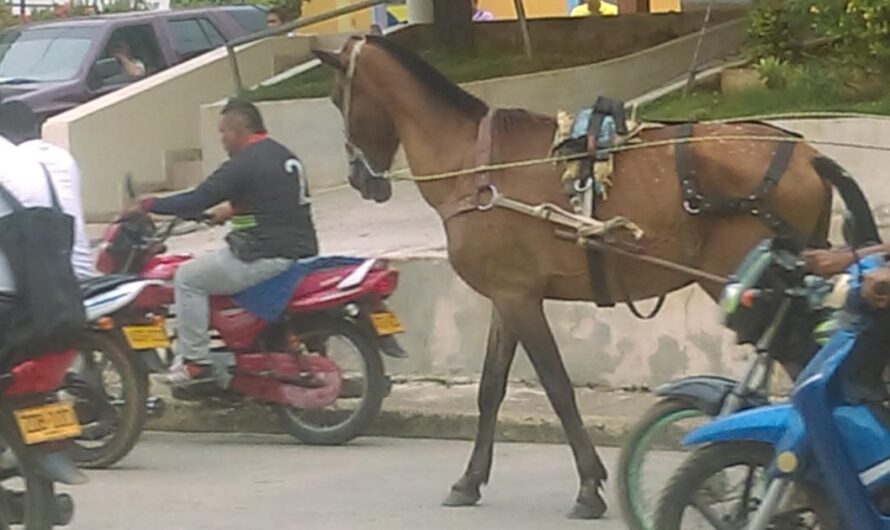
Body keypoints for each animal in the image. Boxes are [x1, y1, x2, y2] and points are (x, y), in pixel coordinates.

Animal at [312, 35, 876, 516]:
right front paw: (470, 480)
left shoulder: (519, 299)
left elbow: (558, 388)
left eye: (340, 98)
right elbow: (490, 388)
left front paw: (588, 486)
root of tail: (806, 152)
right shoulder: (507, 297)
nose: (360, 179)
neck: (476, 169)